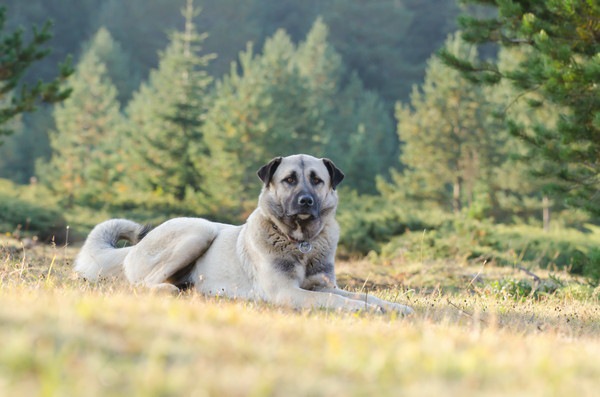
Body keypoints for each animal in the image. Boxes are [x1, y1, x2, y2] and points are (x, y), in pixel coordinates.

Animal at [74, 153, 412, 314]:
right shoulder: (286, 292)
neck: (300, 240)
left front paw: (395, 307)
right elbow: (340, 302)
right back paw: (172, 290)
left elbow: (362, 294)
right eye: (290, 179)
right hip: (199, 230)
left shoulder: (322, 285)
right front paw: (365, 310)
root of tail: (133, 249)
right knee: (141, 285)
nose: (306, 201)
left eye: (317, 180)